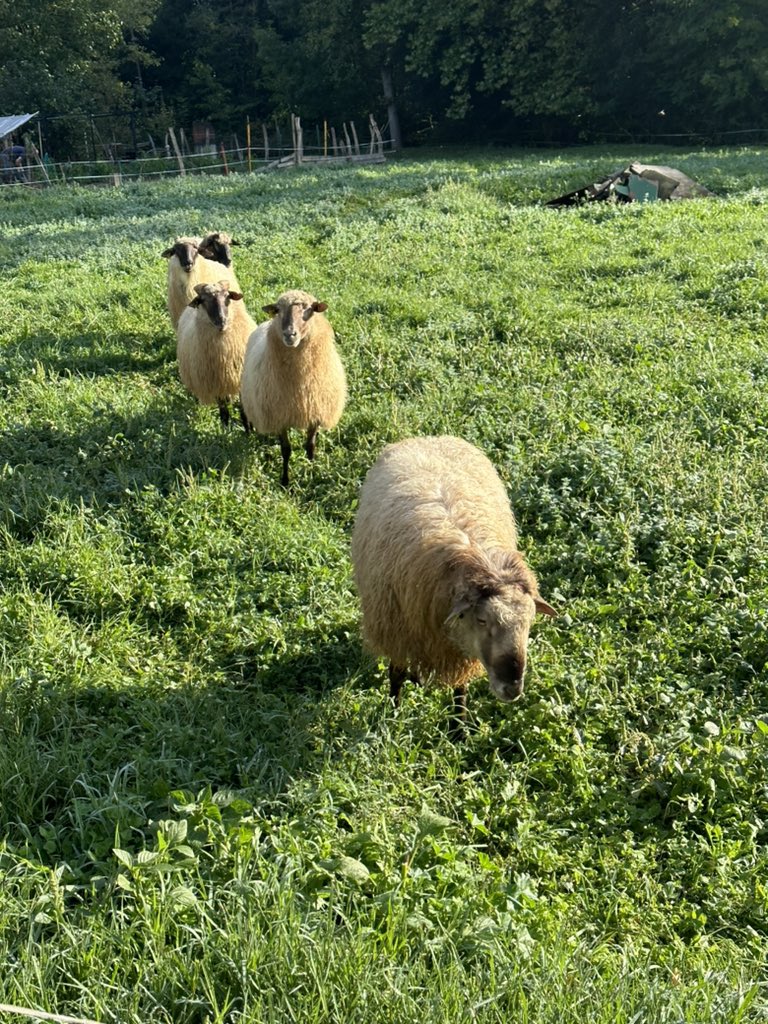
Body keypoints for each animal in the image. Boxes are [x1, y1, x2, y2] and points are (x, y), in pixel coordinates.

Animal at [176, 281, 256, 427]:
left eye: (227, 296)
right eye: (202, 300)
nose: (221, 321)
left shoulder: (240, 379)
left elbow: (243, 411)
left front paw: (248, 428)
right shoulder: (215, 382)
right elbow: (223, 412)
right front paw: (225, 428)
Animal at [239, 289, 347, 487]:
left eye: (309, 309)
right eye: (278, 310)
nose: (289, 334)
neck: (299, 382)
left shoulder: (314, 410)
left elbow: (310, 445)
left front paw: (312, 469)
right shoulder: (280, 416)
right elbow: (286, 450)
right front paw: (285, 480)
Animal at [350, 435, 556, 730]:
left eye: (529, 622)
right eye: (482, 620)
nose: (512, 688)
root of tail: (429, 437)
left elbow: (461, 688)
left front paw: (459, 728)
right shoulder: (397, 631)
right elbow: (396, 674)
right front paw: (394, 715)